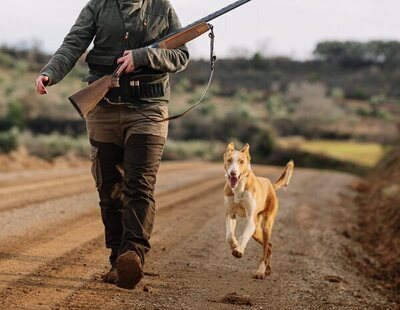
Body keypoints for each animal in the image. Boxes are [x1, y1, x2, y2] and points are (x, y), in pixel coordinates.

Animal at [222, 142, 294, 278]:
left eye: (241, 161)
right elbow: (229, 235)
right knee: (269, 246)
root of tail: (270, 184)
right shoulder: (230, 214)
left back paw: (260, 271)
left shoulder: (251, 219)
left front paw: (238, 250)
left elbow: (244, 235)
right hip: (256, 231)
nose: (233, 173)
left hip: (266, 225)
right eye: (229, 160)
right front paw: (234, 244)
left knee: (265, 248)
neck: (239, 188)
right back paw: (267, 270)